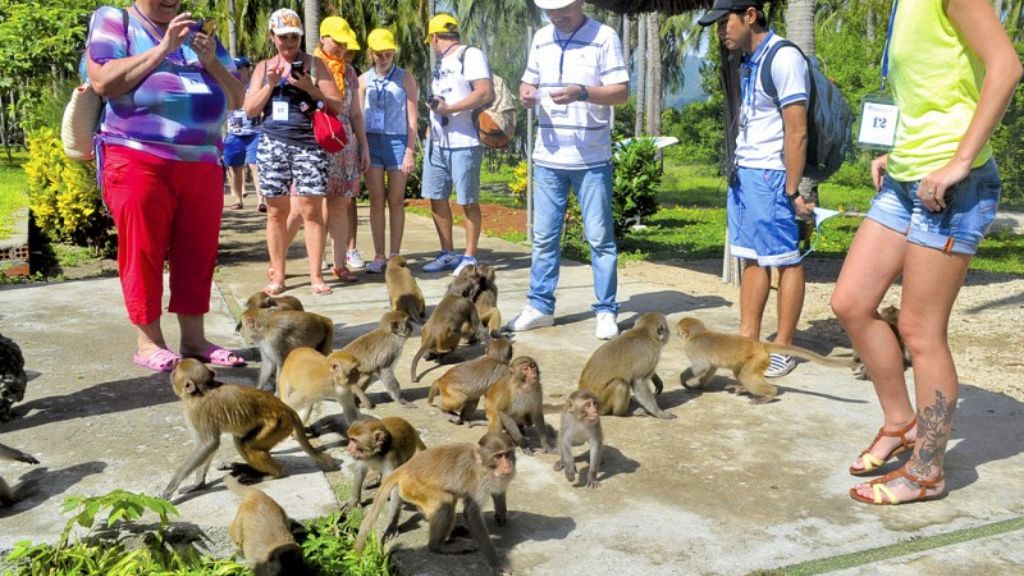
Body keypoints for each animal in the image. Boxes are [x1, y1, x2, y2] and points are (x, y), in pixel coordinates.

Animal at [159, 358, 335, 498]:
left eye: (175, 372)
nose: (171, 372)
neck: (201, 391)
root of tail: (288, 410)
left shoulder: (196, 412)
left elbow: (208, 444)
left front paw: (172, 484)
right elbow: (209, 446)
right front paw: (197, 484)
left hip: (278, 425)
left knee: (247, 445)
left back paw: (272, 474)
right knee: (241, 440)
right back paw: (245, 467)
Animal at [358, 430, 520, 569]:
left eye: (507, 454)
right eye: (498, 456)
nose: (508, 465)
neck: (484, 466)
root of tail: (404, 468)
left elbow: (498, 493)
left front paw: (501, 514)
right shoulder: (480, 481)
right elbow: (472, 514)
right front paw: (495, 564)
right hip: (415, 486)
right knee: (447, 502)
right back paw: (438, 547)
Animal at [679, 313, 856, 403]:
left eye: (679, 329)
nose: (676, 332)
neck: (697, 334)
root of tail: (760, 345)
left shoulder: (691, 347)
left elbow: (700, 367)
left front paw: (685, 380)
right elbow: (710, 368)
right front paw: (700, 385)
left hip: (757, 358)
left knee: (746, 376)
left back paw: (769, 394)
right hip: (757, 359)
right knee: (741, 374)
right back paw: (744, 388)